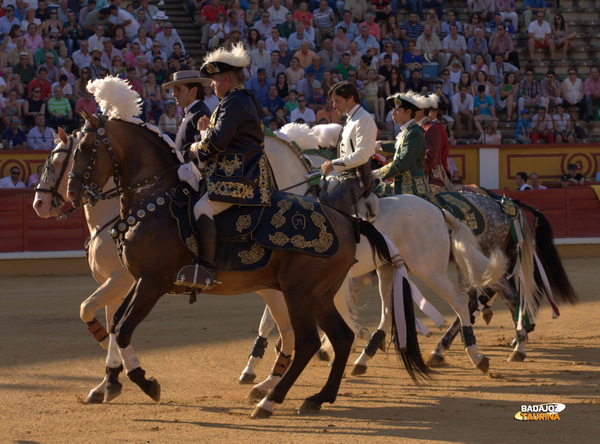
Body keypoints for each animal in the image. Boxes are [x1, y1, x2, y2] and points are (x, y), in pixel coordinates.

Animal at [65, 112, 428, 418]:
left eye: (85, 147)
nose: (71, 193)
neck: (154, 200)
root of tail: (348, 220)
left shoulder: (153, 282)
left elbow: (125, 328)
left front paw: (145, 381)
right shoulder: (138, 280)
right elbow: (116, 325)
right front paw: (116, 380)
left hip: (300, 293)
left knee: (308, 342)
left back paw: (270, 400)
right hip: (320, 295)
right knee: (339, 338)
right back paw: (316, 397)